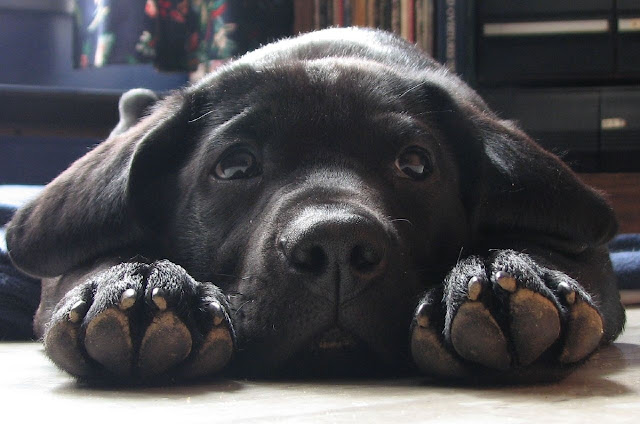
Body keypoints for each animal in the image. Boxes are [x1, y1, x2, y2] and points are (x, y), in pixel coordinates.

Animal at [5, 29, 624, 380]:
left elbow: (556, 253)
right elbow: (87, 260)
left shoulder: (591, 258)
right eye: (235, 166)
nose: (337, 247)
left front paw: (503, 273)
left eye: (415, 164)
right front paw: (137, 280)